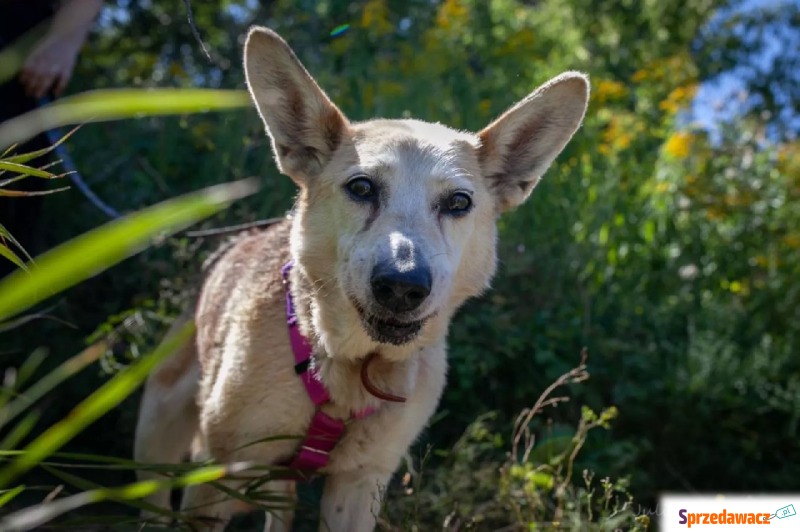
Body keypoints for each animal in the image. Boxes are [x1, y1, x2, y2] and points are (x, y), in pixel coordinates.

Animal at [133, 27, 588, 532]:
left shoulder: (360, 483)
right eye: (362, 187)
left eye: (458, 202)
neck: (346, 370)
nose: (403, 286)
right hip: (157, 445)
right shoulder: (215, 477)